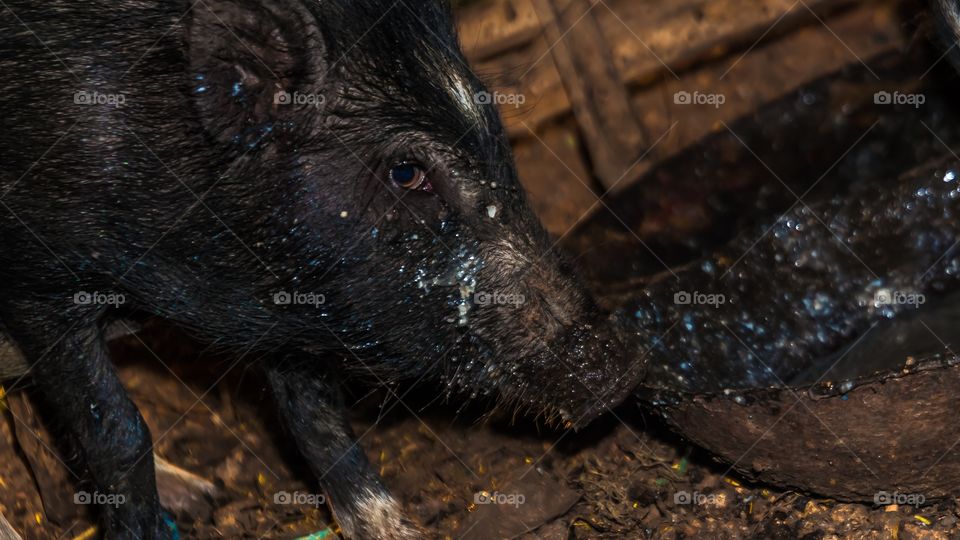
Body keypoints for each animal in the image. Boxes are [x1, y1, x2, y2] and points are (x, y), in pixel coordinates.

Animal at [0, 0, 645, 538]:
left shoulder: (298, 287)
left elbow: (314, 409)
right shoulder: (36, 283)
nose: (623, 364)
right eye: (407, 172)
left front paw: (397, 530)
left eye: (494, 125)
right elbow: (117, 431)